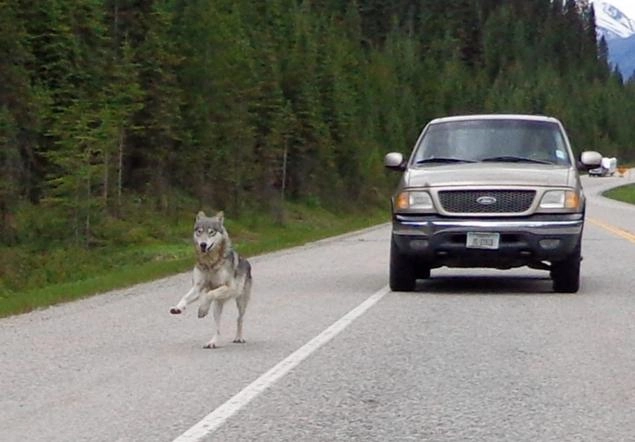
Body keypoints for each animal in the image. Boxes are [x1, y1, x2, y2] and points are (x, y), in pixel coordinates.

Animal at [169, 211, 253, 348]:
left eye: (211, 232)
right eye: (199, 231)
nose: (203, 244)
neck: (210, 263)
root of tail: (246, 262)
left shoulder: (229, 288)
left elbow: (209, 294)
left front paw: (202, 309)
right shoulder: (197, 287)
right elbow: (185, 297)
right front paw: (178, 308)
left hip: (240, 302)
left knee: (239, 319)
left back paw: (238, 338)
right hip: (217, 308)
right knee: (217, 328)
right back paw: (212, 342)